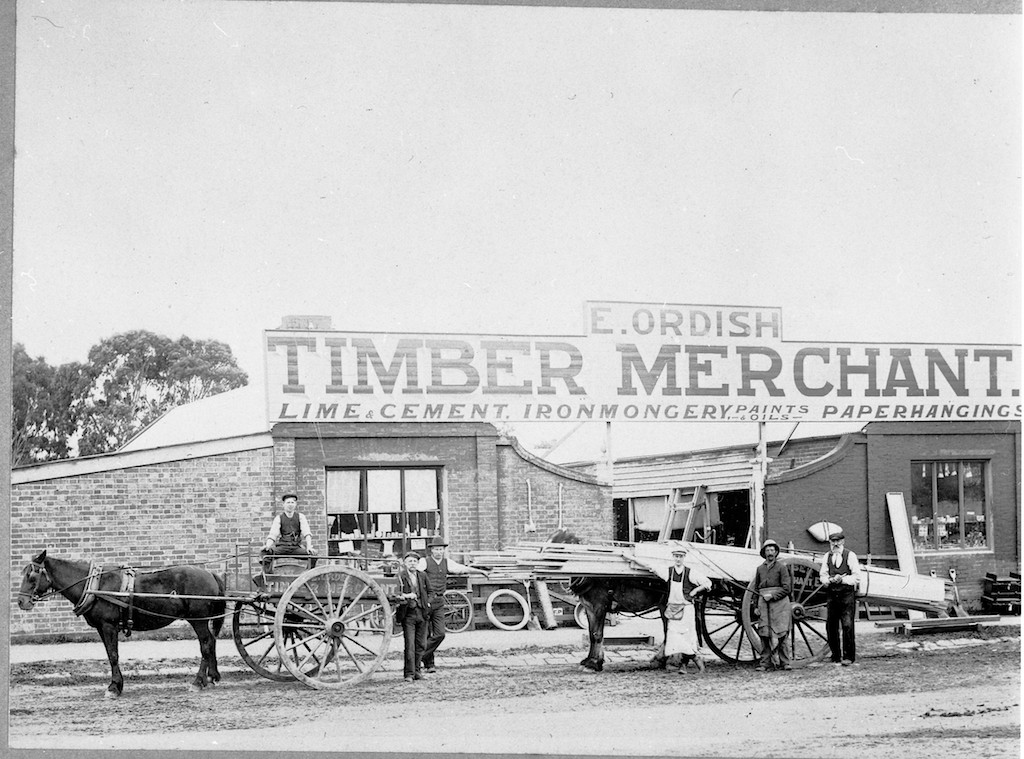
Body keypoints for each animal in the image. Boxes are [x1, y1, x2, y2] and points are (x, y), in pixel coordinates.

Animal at [17, 544, 226, 700]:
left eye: (32, 575)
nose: (21, 602)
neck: (94, 586)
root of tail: (211, 574)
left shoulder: (108, 626)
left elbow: (113, 655)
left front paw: (114, 687)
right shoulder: (101, 628)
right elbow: (110, 655)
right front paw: (116, 685)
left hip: (198, 620)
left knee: (206, 645)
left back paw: (198, 682)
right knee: (212, 642)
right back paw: (212, 677)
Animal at [552, 528, 671, 671]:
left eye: (563, 543)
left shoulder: (599, 607)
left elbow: (597, 634)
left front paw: (594, 663)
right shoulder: (589, 608)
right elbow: (591, 634)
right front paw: (590, 660)